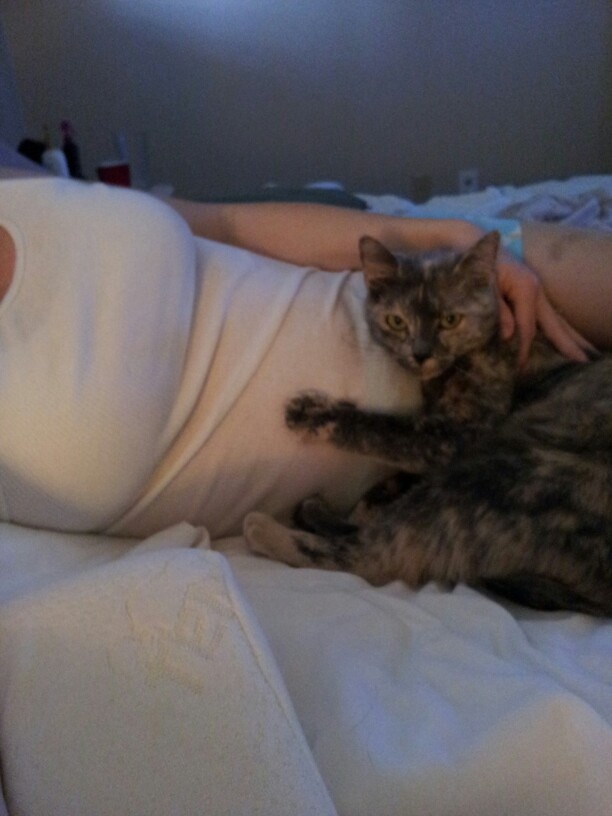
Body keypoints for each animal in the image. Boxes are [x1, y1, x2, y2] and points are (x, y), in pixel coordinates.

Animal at [245, 233, 612, 616]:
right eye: (396, 321)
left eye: (450, 320)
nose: (421, 353)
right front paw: (381, 493)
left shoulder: (458, 436)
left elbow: (385, 431)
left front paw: (311, 413)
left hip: (497, 477)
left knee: (372, 556)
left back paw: (268, 528)